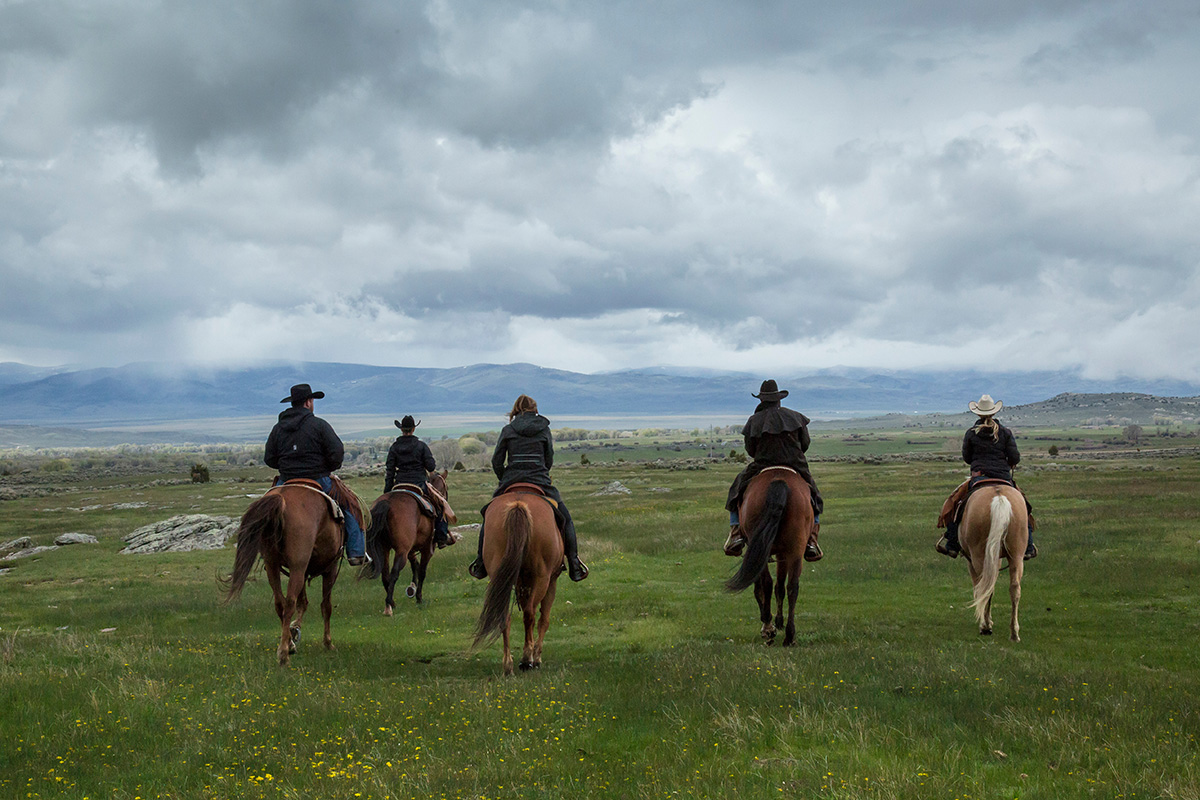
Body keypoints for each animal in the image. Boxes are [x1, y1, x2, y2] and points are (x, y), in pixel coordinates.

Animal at [220, 484, 345, 666]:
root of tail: (281, 498)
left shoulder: (303, 570)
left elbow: (303, 602)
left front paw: (295, 629)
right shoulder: (330, 568)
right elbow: (325, 606)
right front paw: (328, 643)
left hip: (272, 565)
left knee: (280, 603)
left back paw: (289, 644)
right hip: (297, 567)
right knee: (290, 602)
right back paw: (284, 653)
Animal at [362, 470, 451, 614]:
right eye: (446, 487)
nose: (444, 499)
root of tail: (388, 502)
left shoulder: (410, 549)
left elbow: (415, 565)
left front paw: (412, 589)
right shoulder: (427, 549)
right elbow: (422, 571)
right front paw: (419, 598)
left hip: (384, 549)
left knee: (385, 575)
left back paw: (391, 603)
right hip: (401, 551)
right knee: (394, 572)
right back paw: (389, 605)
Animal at [470, 489, 564, 676]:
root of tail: (518, 504)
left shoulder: (521, 583)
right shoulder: (551, 581)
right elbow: (544, 619)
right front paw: (537, 657)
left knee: (504, 616)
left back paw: (508, 665)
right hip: (542, 577)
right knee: (530, 614)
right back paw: (527, 659)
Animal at [720, 470, 816, 652]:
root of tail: (779, 479)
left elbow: (761, 588)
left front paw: (770, 624)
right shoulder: (783, 554)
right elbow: (780, 587)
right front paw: (778, 622)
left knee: (767, 583)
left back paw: (769, 628)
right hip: (795, 549)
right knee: (792, 586)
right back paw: (789, 636)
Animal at [960, 482, 1027, 642]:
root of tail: (999, 497)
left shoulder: (971, 561)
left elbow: (979, 589)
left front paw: (986, 622)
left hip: (978, 556)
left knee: (984, 588)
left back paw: (985, 627)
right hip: (1016, 556)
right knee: (1014, 588)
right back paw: (1014, 633)